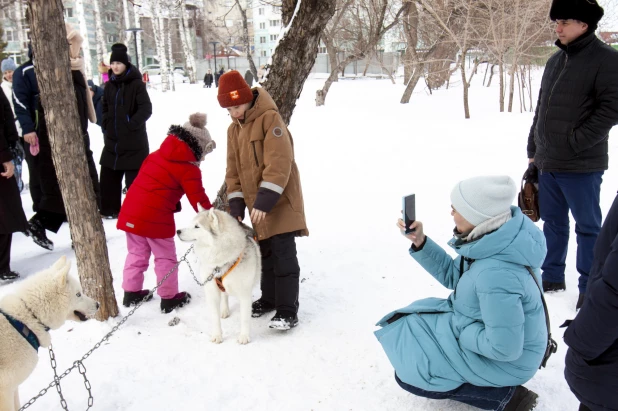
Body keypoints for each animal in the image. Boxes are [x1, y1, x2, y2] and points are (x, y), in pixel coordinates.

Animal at [176, 206, 260, 344]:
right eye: (191, 223)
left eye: (197, 226)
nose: (177, 231)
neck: (220, 264)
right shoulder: (212, 292)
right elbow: (215, 318)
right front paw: (217, 335)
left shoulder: (244, 294)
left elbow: (244, 318)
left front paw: (244, 336)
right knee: (225, 295)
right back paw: (225, 310)